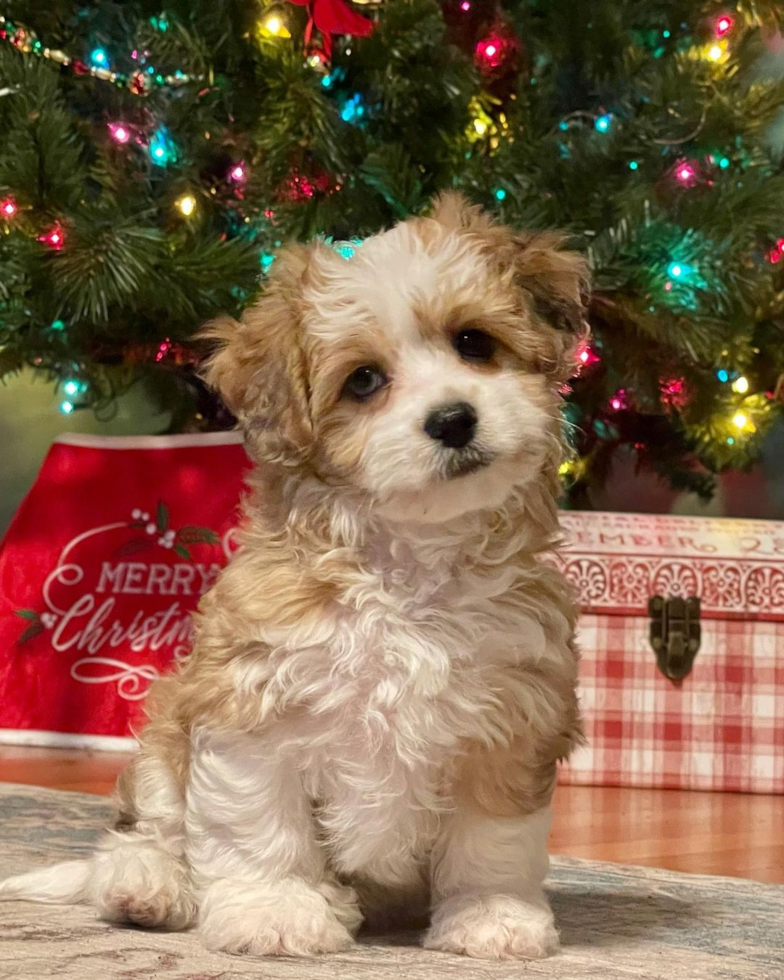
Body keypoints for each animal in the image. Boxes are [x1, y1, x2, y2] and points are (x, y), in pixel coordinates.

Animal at [0, 195, 588, 960]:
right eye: (363, 381)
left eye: (475, 343)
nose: (454, 419)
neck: (407, 570)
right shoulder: (251, 698)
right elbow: (262, 825)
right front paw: (274, 910)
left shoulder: (513, 712)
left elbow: (493, 835)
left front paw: (492, 914)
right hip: (164, 742)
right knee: (145, 837)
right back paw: (149, 888)